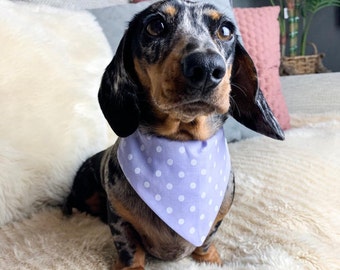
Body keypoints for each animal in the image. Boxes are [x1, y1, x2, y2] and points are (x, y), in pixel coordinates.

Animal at [63, 1, 284, 268]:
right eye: (155, 26)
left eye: (226, 30)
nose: (207, 67)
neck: (181, 143)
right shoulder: (120, 220)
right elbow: (129, 248)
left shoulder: (216, 218)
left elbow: (208, 238)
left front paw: (208, 258)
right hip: (85, 192)